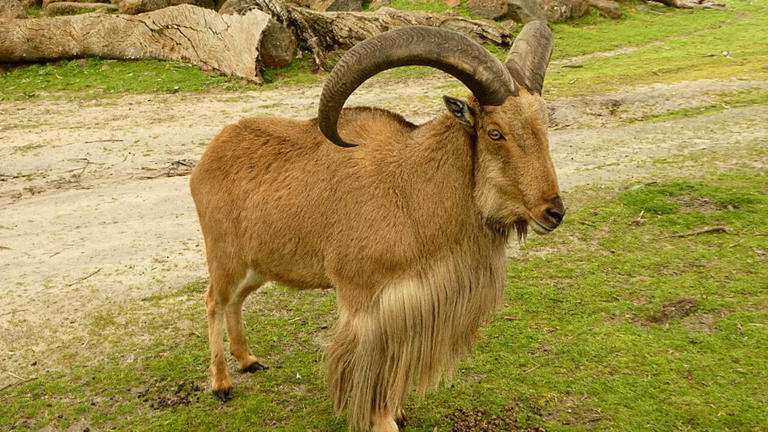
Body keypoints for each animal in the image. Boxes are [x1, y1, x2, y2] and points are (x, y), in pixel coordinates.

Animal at [189, 22, 564, 432]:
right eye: (495, 132)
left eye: (544, 125)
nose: (553, 211)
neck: (410, 191)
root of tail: (208, 156)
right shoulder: (365, 302)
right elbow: (371, 374)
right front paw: (384, 420)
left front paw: (397, 410)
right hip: (225, 256)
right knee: (214, 301)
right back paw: (222, 382)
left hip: (259, 265)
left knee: (236, 301)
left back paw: (248, 360)